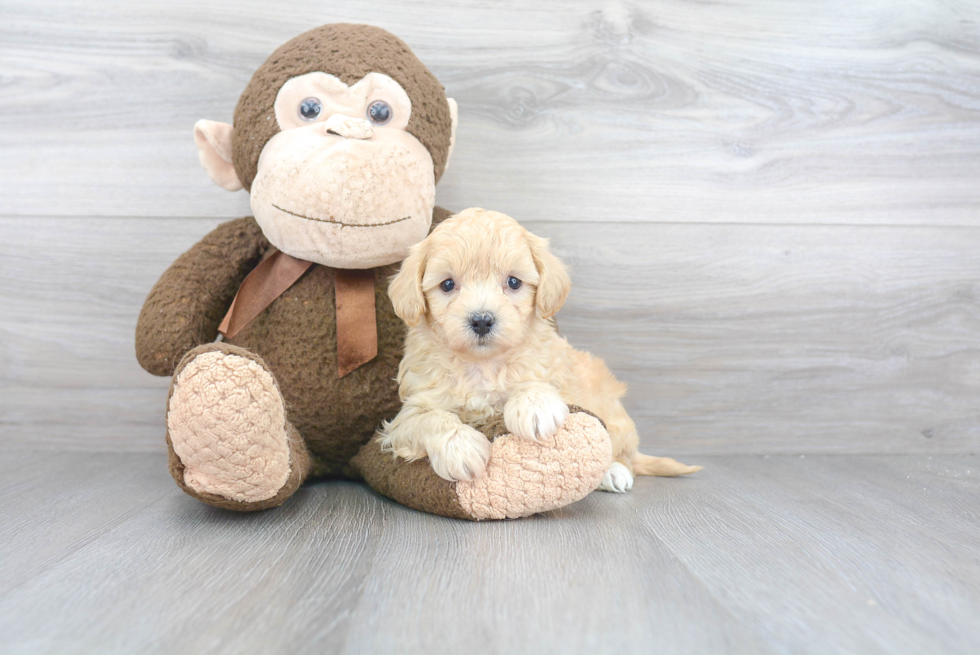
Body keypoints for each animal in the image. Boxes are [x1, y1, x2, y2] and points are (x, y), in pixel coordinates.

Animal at [378, 209, 700, 492]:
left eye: (513, 282)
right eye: (447, 285)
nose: (481, 320)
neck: (483, 365)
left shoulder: (549, 369)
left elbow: (533, 383)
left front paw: (534, 407)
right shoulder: (407, 415)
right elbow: (429, 419)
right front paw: (461, 448)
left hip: (613, 413)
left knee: (622, 452)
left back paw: (614, 472)